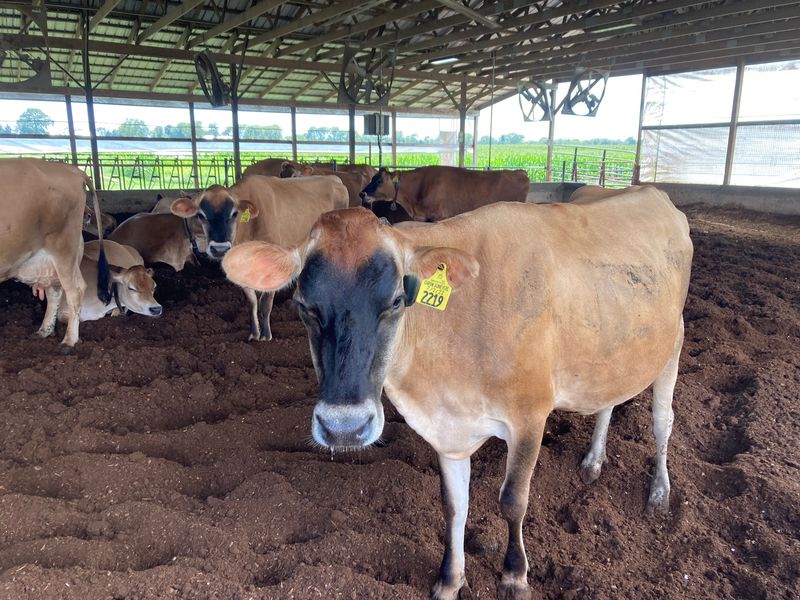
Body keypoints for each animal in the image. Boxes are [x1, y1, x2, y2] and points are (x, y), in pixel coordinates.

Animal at [1, 158, 109, 350]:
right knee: (55, 292)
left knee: (75, 290)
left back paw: (68, 341)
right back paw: (44, 330)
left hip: (63, 248)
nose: (88, 215)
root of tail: (69, 168)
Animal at [170, 174, 349, 340]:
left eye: (234, 213)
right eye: (200, 215)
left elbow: (265, 303)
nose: (219, 248)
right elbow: (252, 302)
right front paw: (254, 333)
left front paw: (265, 335)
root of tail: (334, 178)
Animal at [221, 186, 693, 599]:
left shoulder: (530, 416)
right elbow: (454, 505)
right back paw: (594, 461)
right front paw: (450, 579)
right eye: (303, 305)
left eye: (397, 300)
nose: (344, 428)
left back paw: (659, 493)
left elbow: (512, 501)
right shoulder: (447, 431)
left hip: (672, 345)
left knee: (662, 421)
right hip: (613, 352)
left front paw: (515, 576)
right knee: (607, 401)